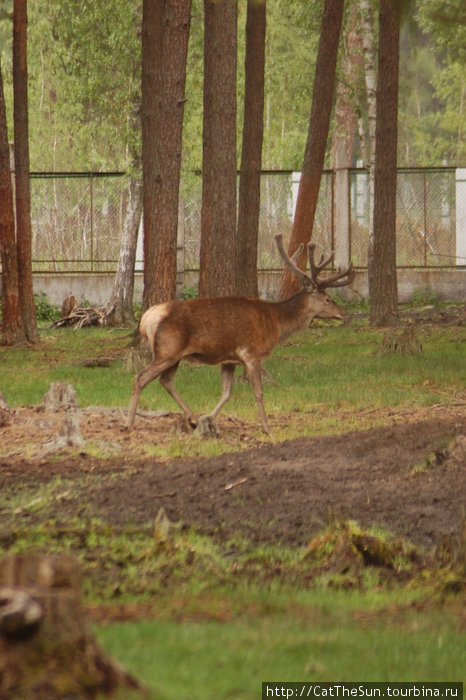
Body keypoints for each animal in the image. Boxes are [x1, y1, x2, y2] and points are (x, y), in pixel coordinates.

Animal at [127, 232, 354, 434]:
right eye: (327, 299)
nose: (344, 313)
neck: (276, 323)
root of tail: (146, 320)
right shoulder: (252, 353)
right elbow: (258, 392)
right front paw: (267, 428)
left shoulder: (229, 359)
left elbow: (226, 393)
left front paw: (209, 419)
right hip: (168, 349)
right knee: (140, 377)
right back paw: (130, 423)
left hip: (174, 355)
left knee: (166, 381)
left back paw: (191, 417)